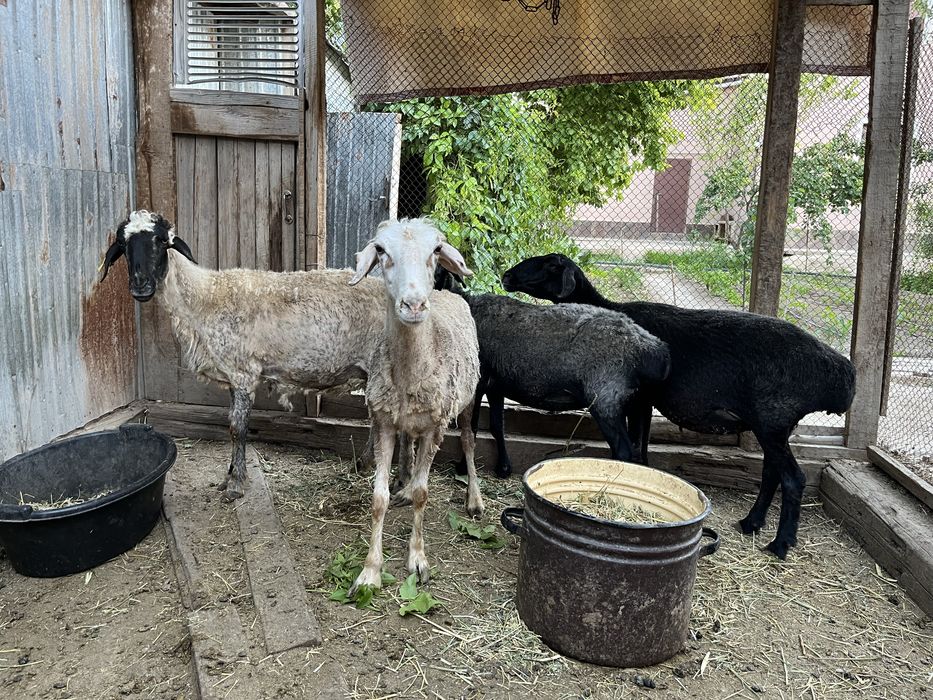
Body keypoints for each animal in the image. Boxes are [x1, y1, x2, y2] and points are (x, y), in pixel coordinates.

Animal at [100, 210, 389, 502]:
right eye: (123, 245)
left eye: (161, 241)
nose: (140, 286)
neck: (204, 298)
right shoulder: (232, 374)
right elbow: (231, 423)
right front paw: (229, 475)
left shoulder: (243, 373)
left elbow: (237, 428)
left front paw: (236, 483)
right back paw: (365, 464)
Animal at [346, 219, 482, 595]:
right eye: (380, 250)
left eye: (436, 250)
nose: (415, 305)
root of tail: (448, 293)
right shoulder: (383, 422)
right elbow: (378, 499)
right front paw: (370, 571)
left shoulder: (436, 425)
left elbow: (424, 493)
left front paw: (418, 560)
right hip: (408, 420)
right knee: (410, 444)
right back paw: (403, 482)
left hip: (468, 400)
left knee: (469, 441)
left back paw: (474, 499)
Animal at [434, 268, 670, 478]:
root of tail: (654, 349)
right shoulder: (496, 386)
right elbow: (496, 426)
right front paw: (503, 468)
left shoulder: (480, 381)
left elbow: (471, 428)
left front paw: (463, 469)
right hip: (638, 403)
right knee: (638, 450)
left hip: (606, 398)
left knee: (623, 450)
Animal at [501, 253, 857, 559]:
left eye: (549, 265)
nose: (506, 276)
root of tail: (843, 376)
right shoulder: (644, 403)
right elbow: (642, 448)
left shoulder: (640, 399)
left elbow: (635, 446)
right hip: (774, 425)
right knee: (772, 471)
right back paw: (751, 523)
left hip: (773, 418)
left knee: (793, 478)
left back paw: (781, 544)